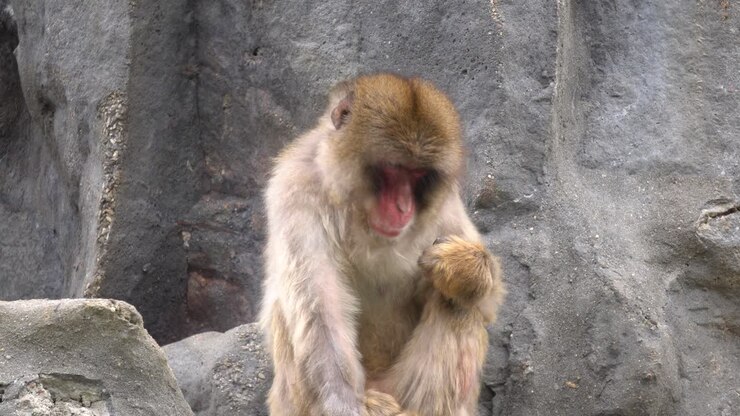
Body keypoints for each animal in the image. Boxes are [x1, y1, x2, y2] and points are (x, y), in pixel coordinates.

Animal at [260, 73, 505, 416]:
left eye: (418, 174)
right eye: (393, 169)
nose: (404, 207)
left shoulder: (444, 206)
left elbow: (488, 303)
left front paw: (464, 269)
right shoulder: (296, 189)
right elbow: (320, 312)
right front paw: (343, 403)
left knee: (460, 307)